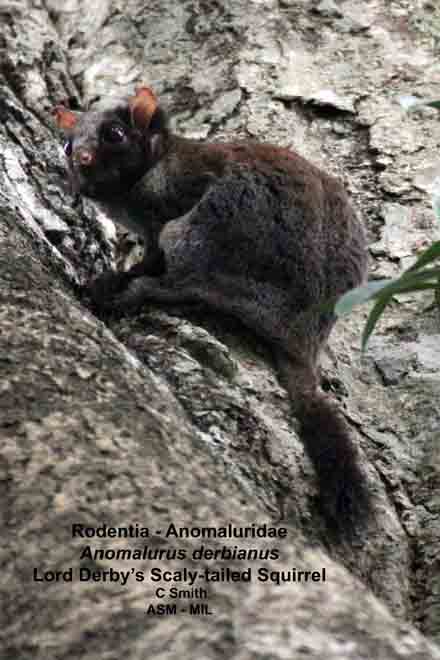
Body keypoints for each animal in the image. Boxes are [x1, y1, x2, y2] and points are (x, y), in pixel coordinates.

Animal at [54, 86, 371, 536]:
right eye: (67, 144)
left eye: (114, 134)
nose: (79, 160)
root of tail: (305, 332)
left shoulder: (175, 197)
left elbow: (154, 257)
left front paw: (122, 280)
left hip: (215, 233)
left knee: (186, 284)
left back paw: (134, 294)